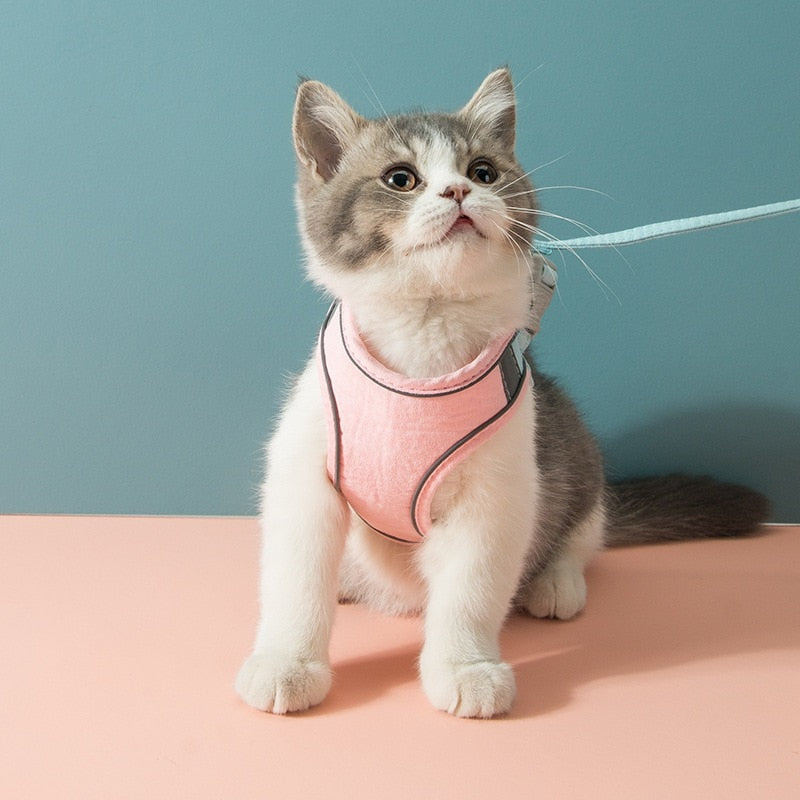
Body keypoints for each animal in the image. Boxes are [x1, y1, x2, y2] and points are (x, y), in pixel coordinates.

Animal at [236, 69, 768, 720]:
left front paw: (466, 667)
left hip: (571, 448)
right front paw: (287, 660)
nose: (459, 191)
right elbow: (296, 574)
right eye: (400, 178)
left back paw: (555, 580)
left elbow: (473, 583)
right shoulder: (304, 469)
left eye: (484, 170)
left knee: (581, 530)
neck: (425, 340)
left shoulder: (499, 487)